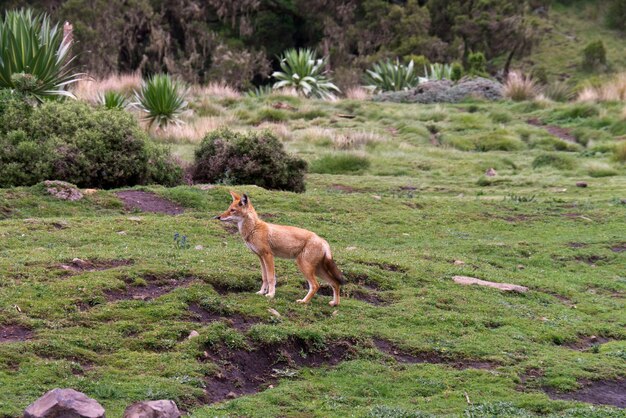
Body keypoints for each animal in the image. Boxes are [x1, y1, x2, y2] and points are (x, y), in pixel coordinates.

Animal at [213, 191, 342, 306]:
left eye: (232, 210)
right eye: (228, 208)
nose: (218, 217)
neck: (254, 229)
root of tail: (322, 240)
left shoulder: (268, 256)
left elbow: (271, 278)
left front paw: (270, 295)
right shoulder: (261, 257)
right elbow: (264, 277)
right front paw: (261, 292)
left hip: (304, 267)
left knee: (316, 285)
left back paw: (303, 301)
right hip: (317, 270)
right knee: (335, 283)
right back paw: (334, 303)